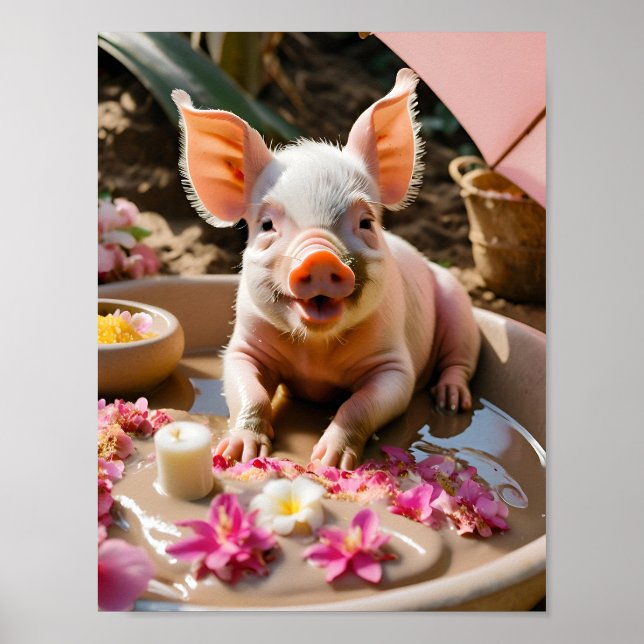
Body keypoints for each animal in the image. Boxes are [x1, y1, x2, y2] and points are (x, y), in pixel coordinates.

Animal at [171, 68, 480, 470]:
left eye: (365, 222)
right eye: (267, 225)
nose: (319, 257)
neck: (315, 354)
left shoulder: (394, 366)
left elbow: (361, 404)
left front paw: (328, 462)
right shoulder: (244, 343)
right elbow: (249, 390)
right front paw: (238, 454)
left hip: (458, 303)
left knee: (460, 359)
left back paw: (451, 401)